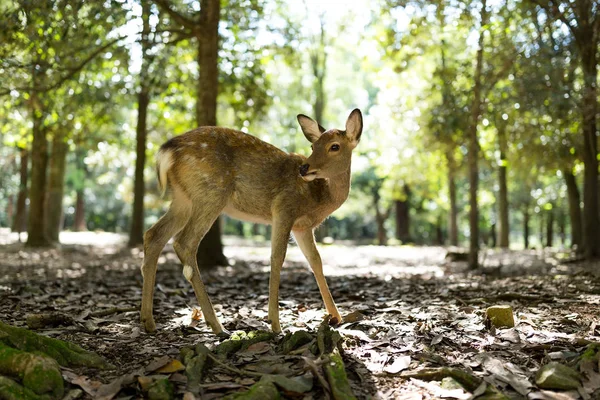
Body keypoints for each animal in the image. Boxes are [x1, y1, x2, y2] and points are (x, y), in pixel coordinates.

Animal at [141, 107, 364, 334]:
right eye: (313, 146)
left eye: (334, 146)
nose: (304, 168)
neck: (319, 197)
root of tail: (167, 151)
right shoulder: (284, 208)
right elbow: (277, 258)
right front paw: (275, 323)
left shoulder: (302, 227)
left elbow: (315, 261)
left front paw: (336, 316)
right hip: (211, 192)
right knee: (184, 242)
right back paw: (217, 326)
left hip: (183, 198)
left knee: (153, 235)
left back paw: (148, 321)